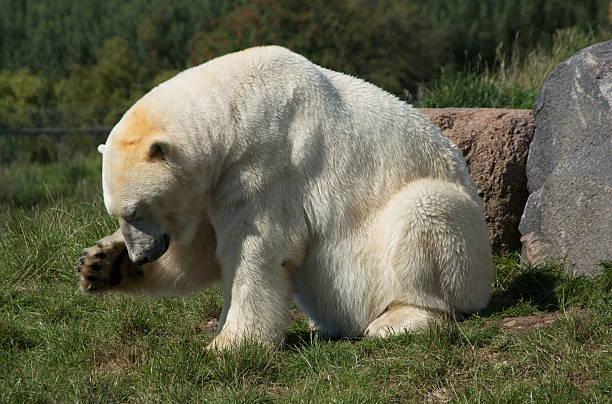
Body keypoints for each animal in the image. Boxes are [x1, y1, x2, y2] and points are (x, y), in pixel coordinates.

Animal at [77, 45, 492, 348]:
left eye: (136, 210)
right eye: (117, 214)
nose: (141, 254)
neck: (234, 104)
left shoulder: (266, 158)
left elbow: (255, 248)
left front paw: (230, 344)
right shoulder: (219, 181)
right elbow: (203, 251)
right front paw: (102, 263)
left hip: (454, 240)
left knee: (425, 211)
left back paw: (399, 319)